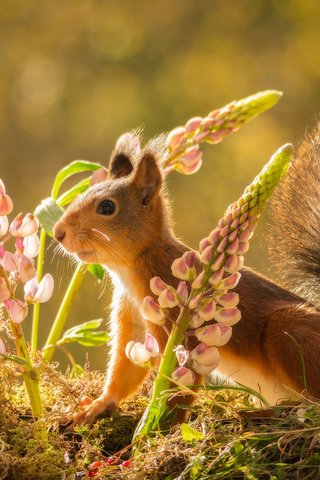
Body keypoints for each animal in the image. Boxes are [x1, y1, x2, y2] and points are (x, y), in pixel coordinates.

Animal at [53, 123, 320, 424]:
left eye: (107, 207)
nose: (58, 232)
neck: (133, 268)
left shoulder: (180, 330)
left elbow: (178, 384)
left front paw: (160, 425)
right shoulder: (133, 320)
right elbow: (125, 371)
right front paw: (97, 405)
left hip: (286, 330)